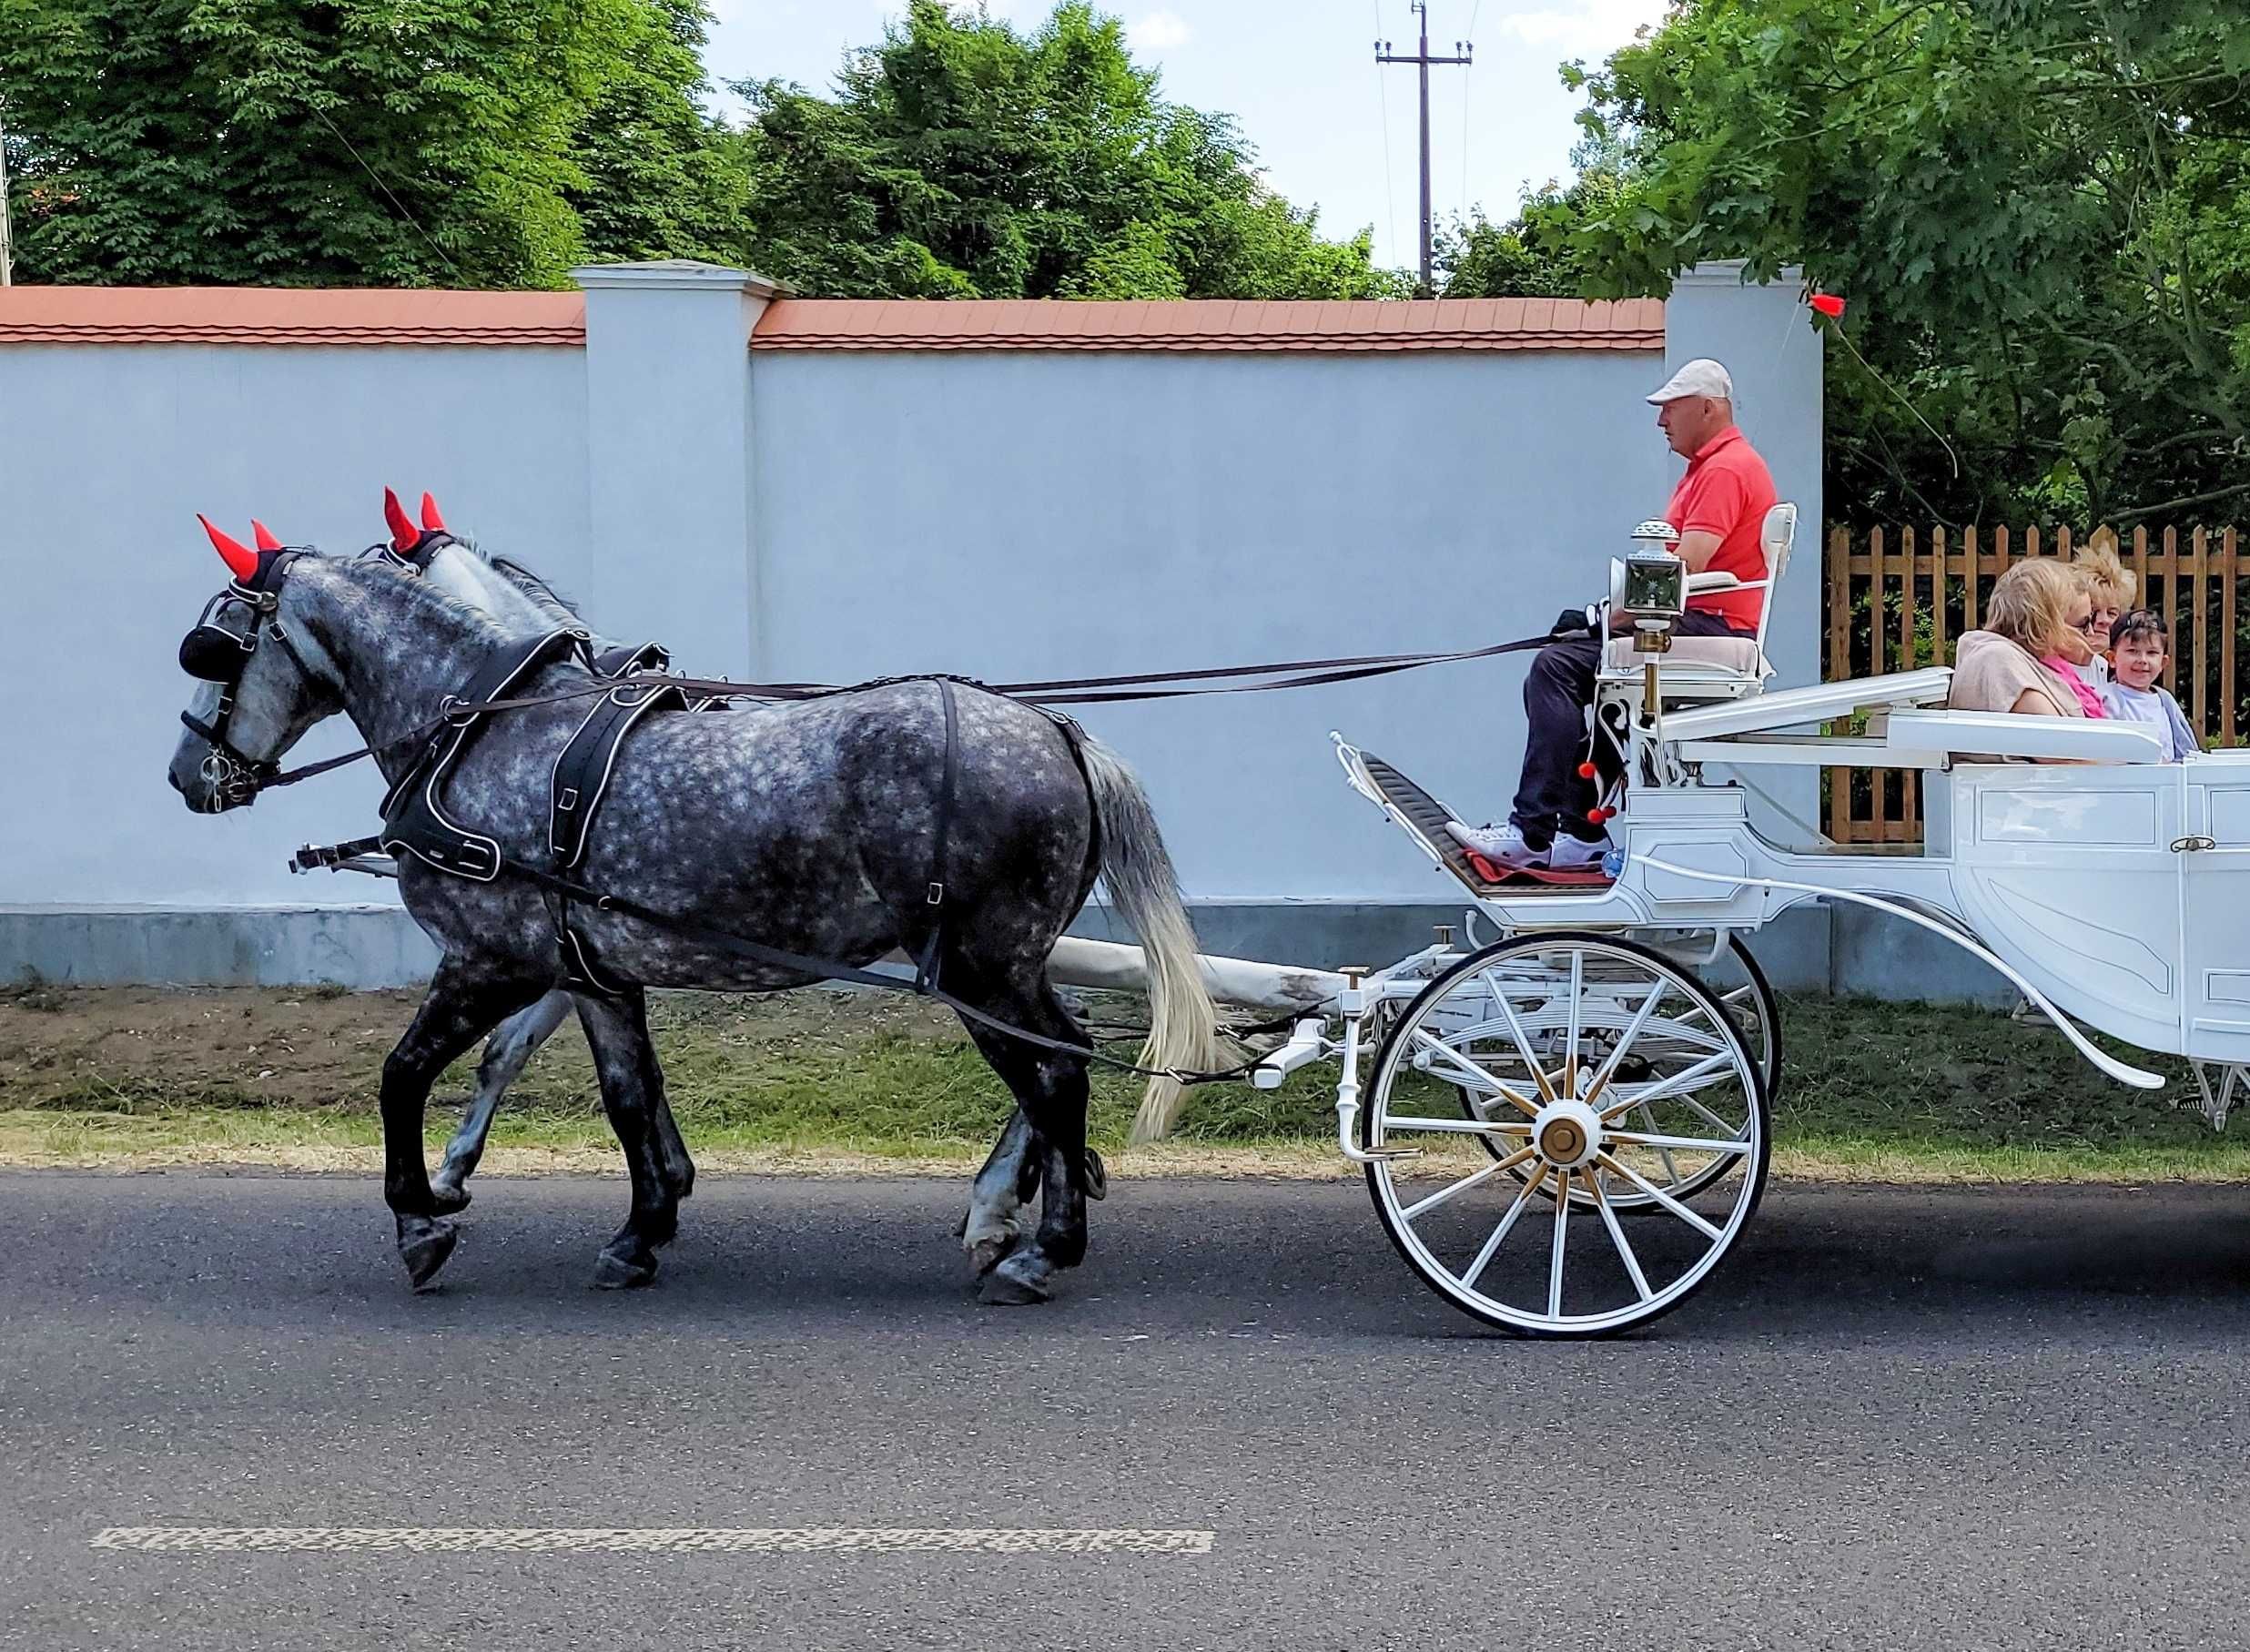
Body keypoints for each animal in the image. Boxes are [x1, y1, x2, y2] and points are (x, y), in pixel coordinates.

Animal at [166, 531, 1223, 1305]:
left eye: (216, 645)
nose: (186, 776)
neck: (487, 730)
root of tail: (1056, 730)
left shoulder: (490, 958)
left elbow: (402, 1075)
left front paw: (421, 1219)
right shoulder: (592, 970)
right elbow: (627, 1095)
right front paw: (643, 1227)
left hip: (978, 963)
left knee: (1055, 1073)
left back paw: (1039, 1247)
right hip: (1003, 961)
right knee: (1060, 1057)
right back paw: (1016, 1213)